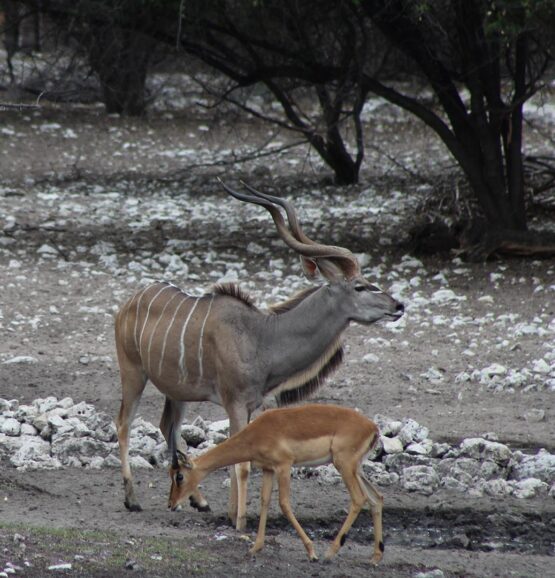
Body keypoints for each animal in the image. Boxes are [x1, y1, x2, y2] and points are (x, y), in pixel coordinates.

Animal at [116, 180, 404, 528]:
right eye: (360, 286)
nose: (398, 305)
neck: (262, 336)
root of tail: (130, 301)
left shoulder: (250, 406)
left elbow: (238, 456)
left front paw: (230, 512)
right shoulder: (235, 404)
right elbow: (240, 463)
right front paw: (237, 520)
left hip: (177, 391)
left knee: (168, 427)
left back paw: (199, 501)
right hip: (133, 372)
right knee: (124, 423)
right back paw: (131, 499)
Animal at [169, 402, 384, 560]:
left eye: (179, 476)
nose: (171, 504)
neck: (257, 433)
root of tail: (373, 427)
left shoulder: (284, 466)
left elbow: (284, 504)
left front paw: (311, 552)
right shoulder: (268, 469)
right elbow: (264, 502)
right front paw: (255, 548)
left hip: (344, 466)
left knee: (359, 499)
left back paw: (329, 553)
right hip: (356, 469)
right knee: (376, 498)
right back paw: (375, 557)